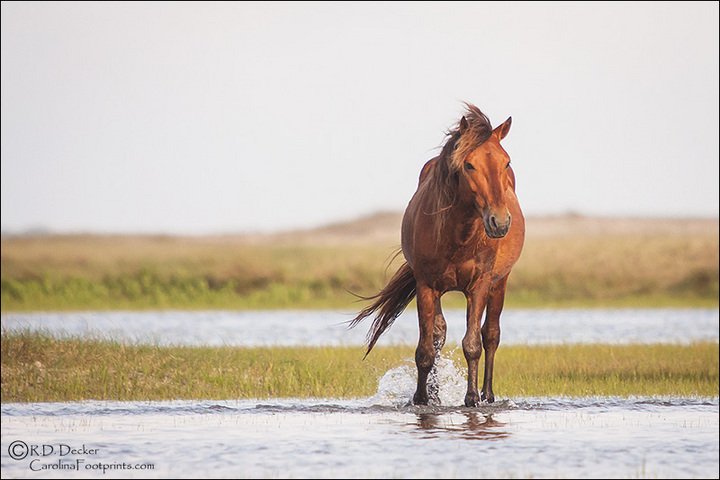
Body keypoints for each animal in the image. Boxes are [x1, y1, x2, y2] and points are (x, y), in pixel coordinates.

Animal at [350, 103, 525, 407]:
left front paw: (471, 398)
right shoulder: (427, 286)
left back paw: (488, 395)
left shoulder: (479, 285)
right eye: (468, 164)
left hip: (500, 282)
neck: (460, 237)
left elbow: (473, 344)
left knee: (491, 335)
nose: (500, 222)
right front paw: (422, 398)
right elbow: (425, 349)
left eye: (507, 162)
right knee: (439, 334)